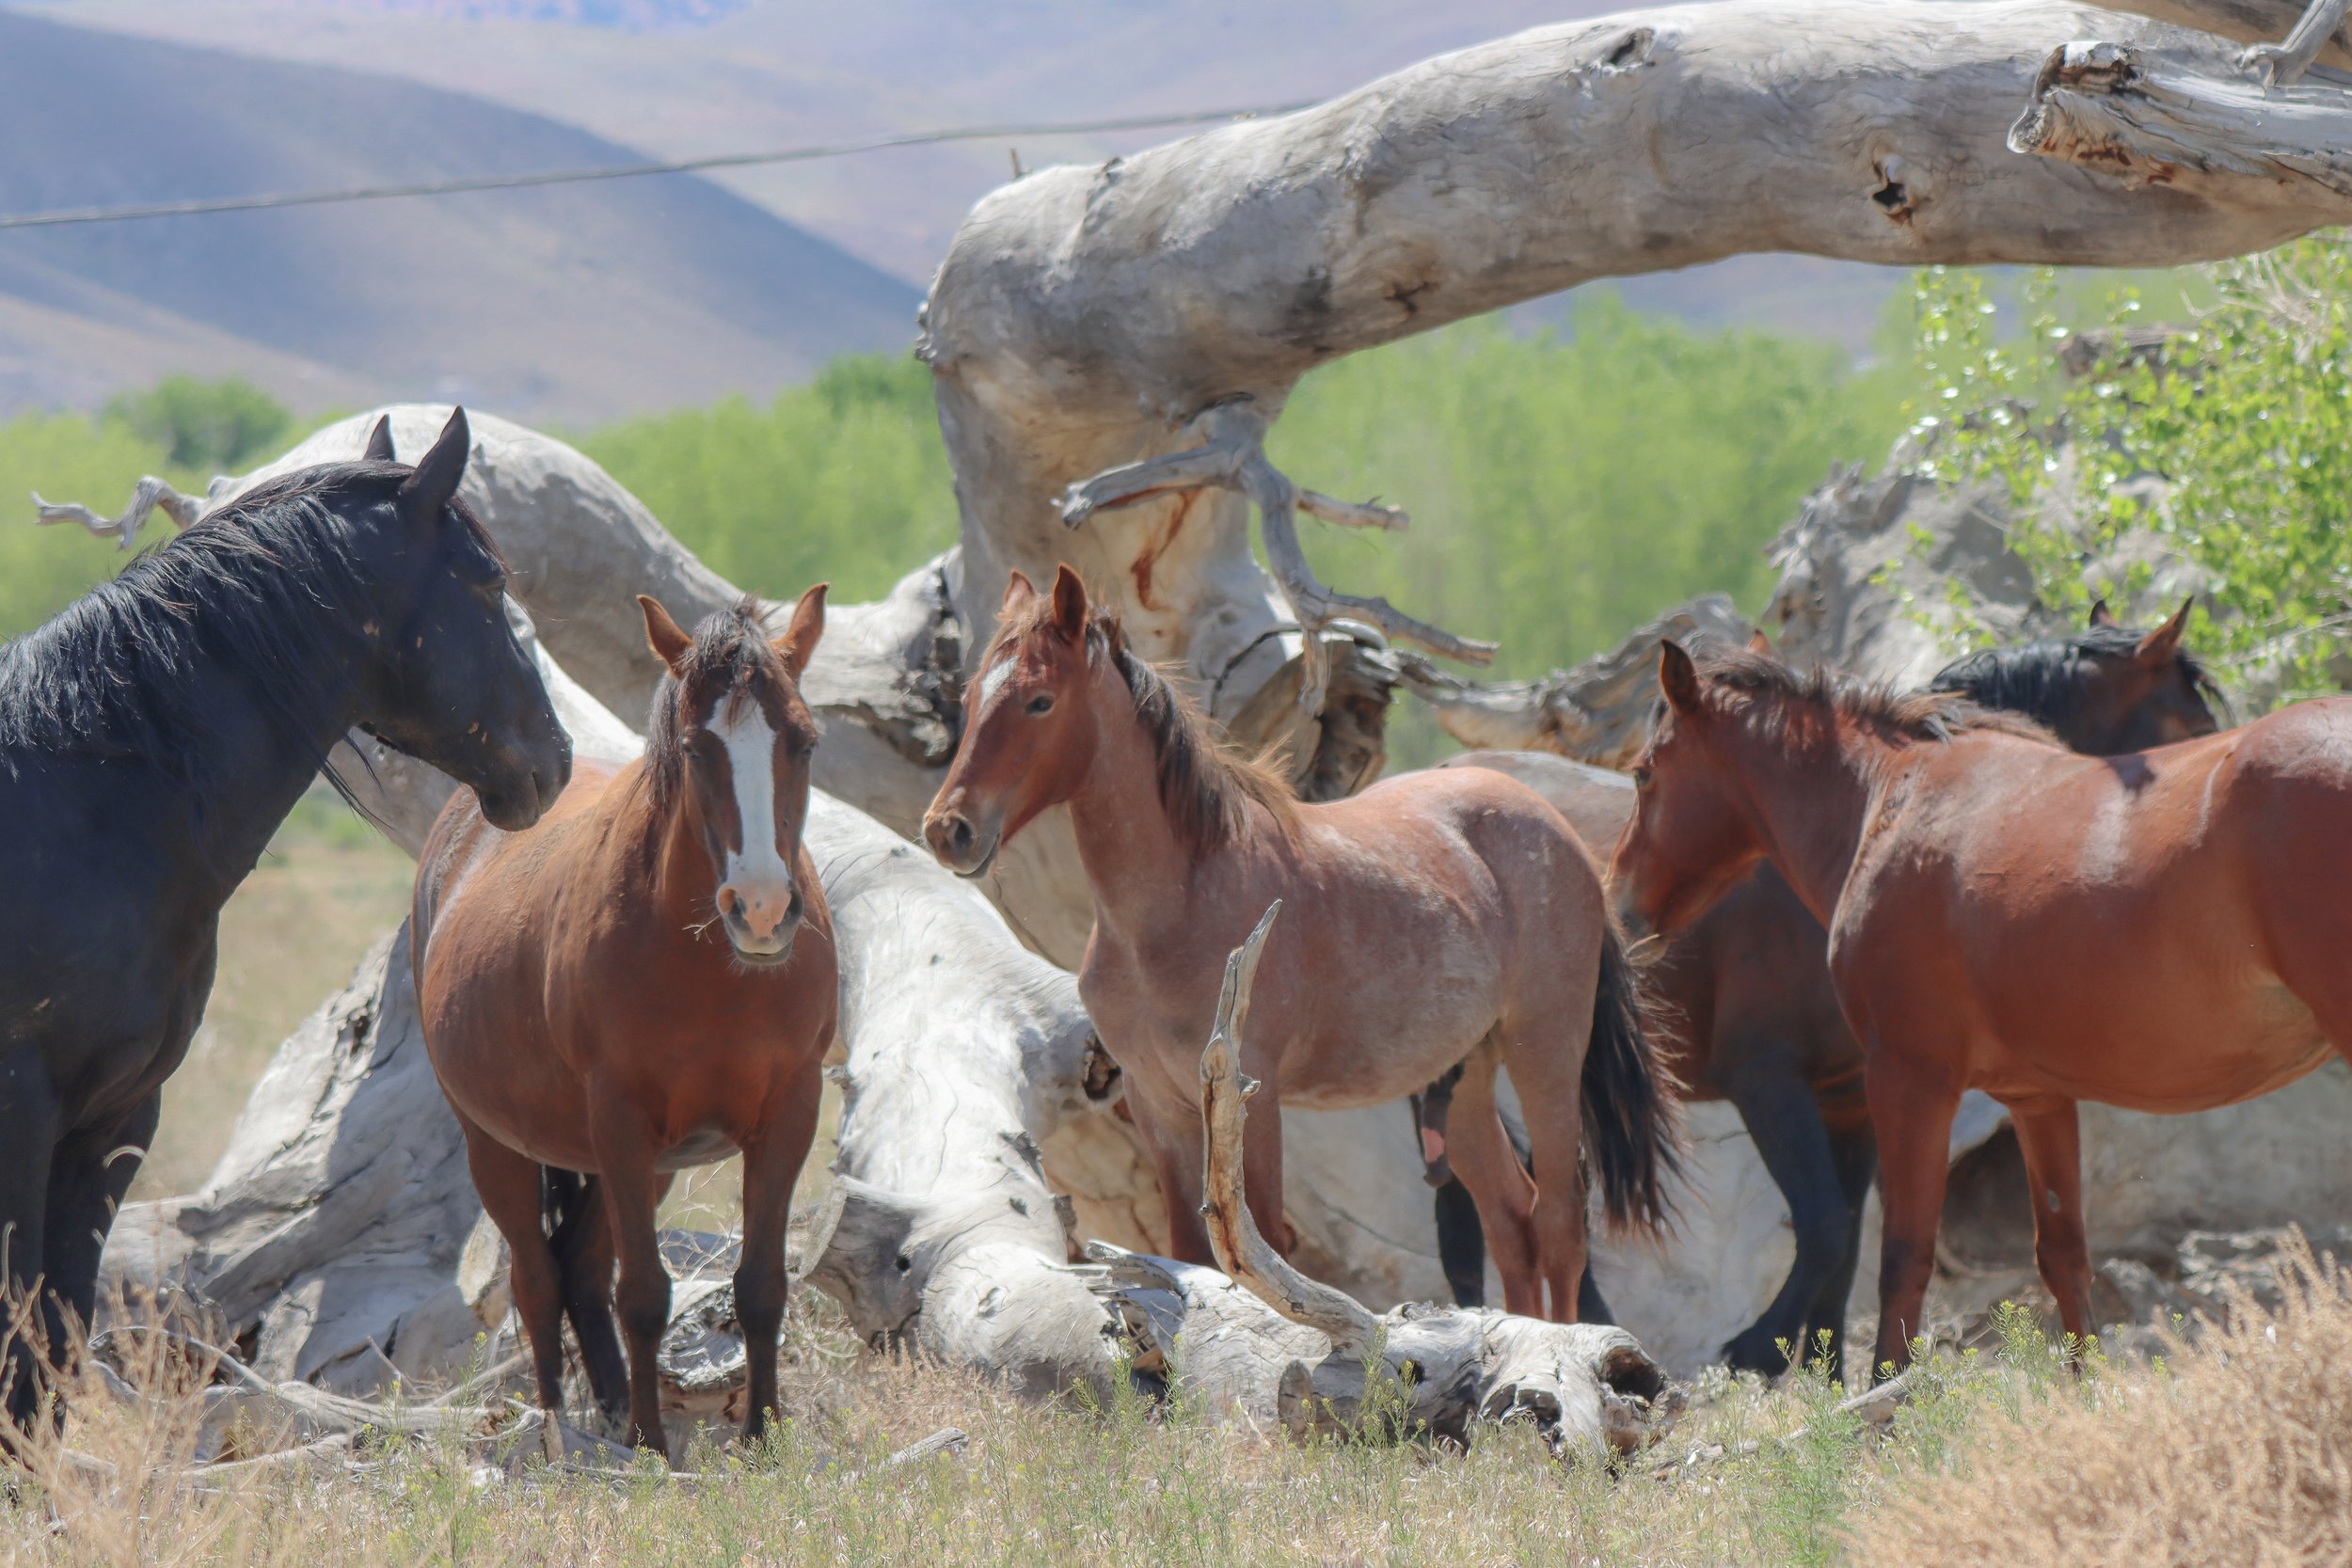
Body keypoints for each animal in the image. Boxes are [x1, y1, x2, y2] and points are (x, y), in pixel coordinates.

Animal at [0, 409, 570, 1432]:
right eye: (490, 579)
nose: (558, 758)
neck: (83, 813)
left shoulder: (109, 1123)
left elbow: (50, 1357)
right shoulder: (19, 1110)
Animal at [414, 587, 834, 1456]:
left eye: (803, 742)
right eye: (697, 750)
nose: (762, 910)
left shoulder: (789, 1113)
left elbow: (762, 1285)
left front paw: (762, 1437)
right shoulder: (619, 1121)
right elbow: (642, 1292)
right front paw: (650, 1444)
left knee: (576, 1268)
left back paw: (606, 1410)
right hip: (501, 1146)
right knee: (539, 1278)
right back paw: (559, 1430)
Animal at [920, 565, 1681, 1321]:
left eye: (1040, 701)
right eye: (970, 695)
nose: (948, 829)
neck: (1174, 907)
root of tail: (1558, 830)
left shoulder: (1251, 1096)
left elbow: (1262, 1254)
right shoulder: (1157, 1102)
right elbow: (1189, 1256)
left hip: (1544, 1049)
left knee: (1557, 1225)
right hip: (1466, 1071)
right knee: (1512, 1217)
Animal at [1423, 600, 2221, 1372]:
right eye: (2193, 727)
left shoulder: (1852, 1095)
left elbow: (1841, 1245)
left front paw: (1827, 1374)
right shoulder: (1771, 1081)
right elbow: (1828, 1226)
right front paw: (1760, 1348)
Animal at [1608, 634, 2350, 1378]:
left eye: (1644, 774)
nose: (1621, 903)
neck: (1892, 800)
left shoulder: (1904, 1081)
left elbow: (1900, 1258)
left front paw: (1878, 1395)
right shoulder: (2037, 1098)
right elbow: (2063, 1258)